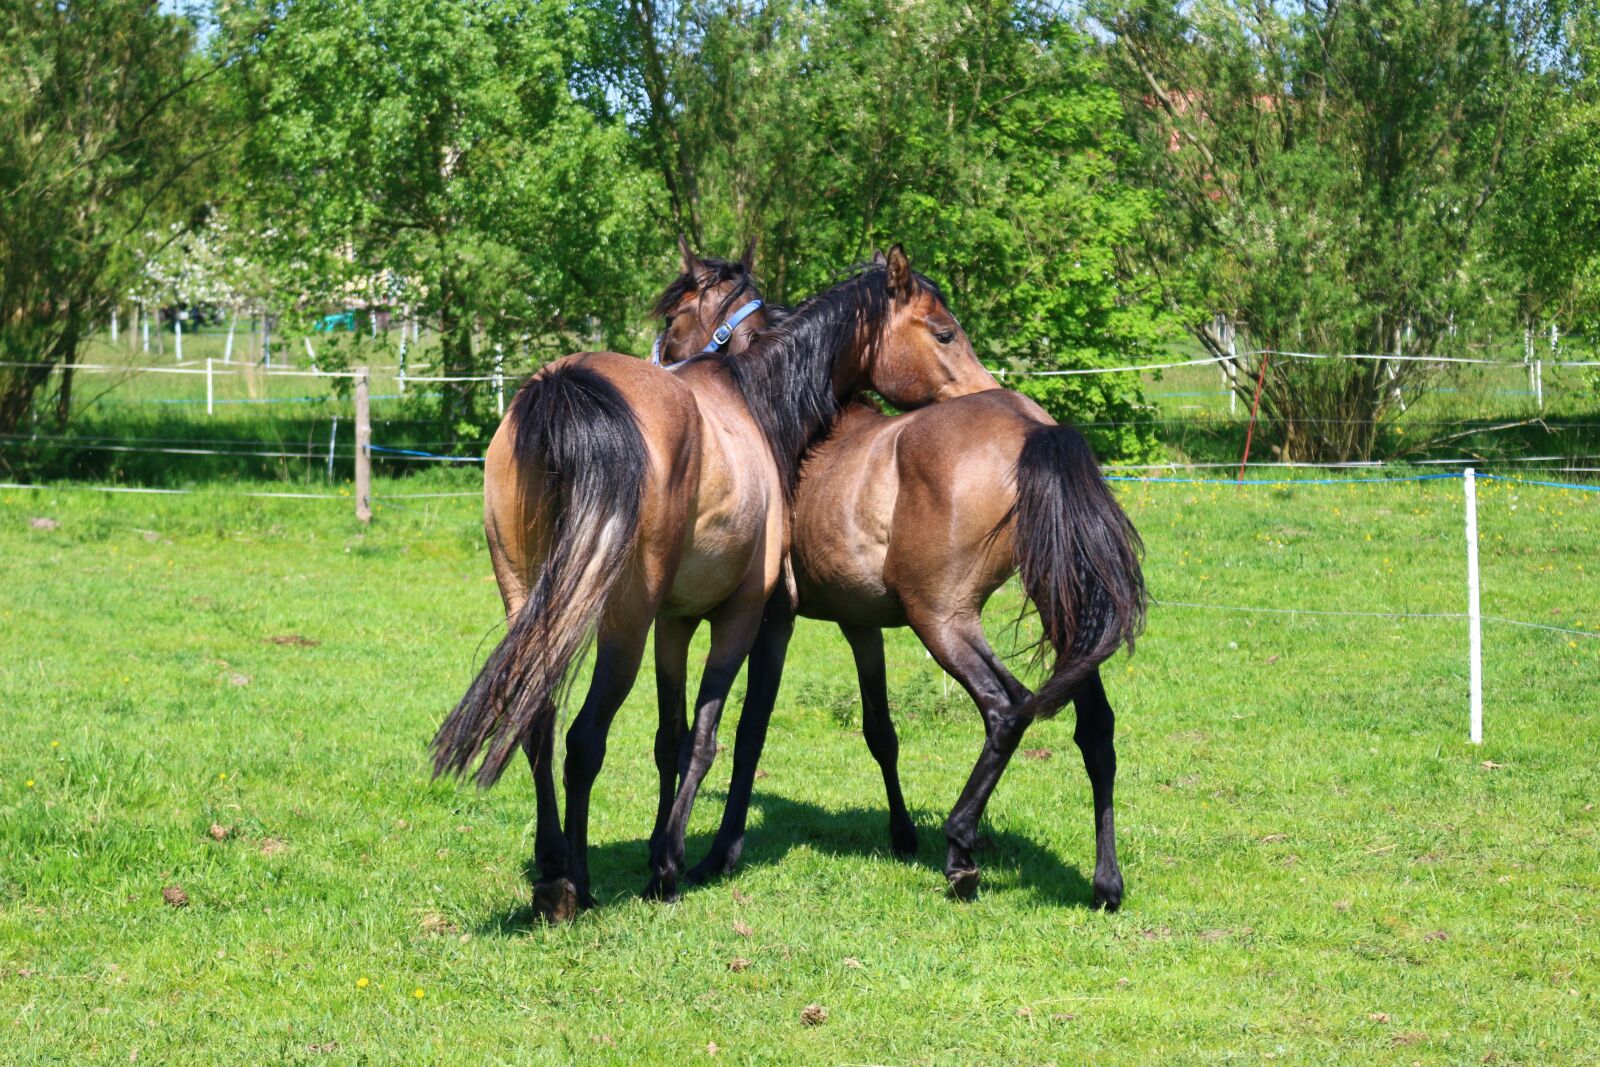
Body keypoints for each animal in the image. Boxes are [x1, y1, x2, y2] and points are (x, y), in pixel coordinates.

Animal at [432, 240, 998, 918]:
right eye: (944, 333)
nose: (989, 392)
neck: (753, 402)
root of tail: (561, 390)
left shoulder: (674, 624)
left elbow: (671, 739)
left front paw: (662, 846)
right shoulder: (749, 617)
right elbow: (720, 735)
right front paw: (673, 865)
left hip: (533, 604)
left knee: (536, 723)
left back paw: (551, 868)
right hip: (619, 625)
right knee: (584, 739)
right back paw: (576, 883)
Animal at [651, 258, 1146, 908]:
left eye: (676, 317)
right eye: (944, 332)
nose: (663, 364)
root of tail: (1032, 429)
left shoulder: (774, 620)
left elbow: (751, 730)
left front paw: (718, 854)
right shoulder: (861, 624)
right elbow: (880, 730)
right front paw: (902, 833)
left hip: (942, 619)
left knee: (1007, 708)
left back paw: (961, 848)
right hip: (1059, 615)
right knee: (1096, 732)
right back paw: (1105, 882)